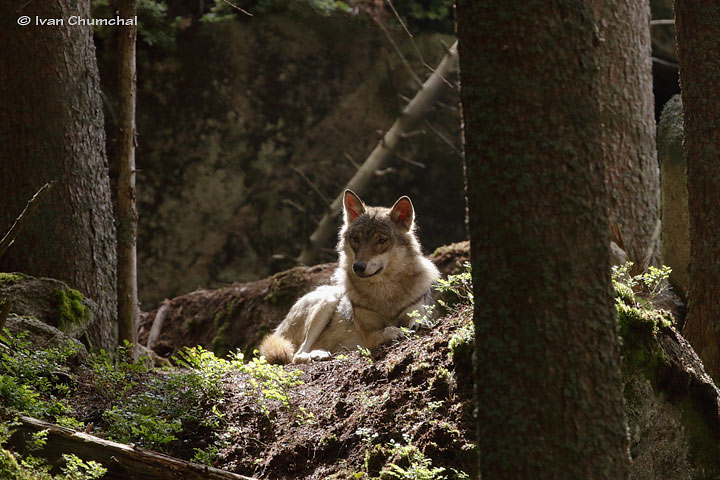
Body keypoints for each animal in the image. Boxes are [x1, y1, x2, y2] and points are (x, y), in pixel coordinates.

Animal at [258, 188, 438, 364]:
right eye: (356, 239)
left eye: (381, 240)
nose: (358, 266)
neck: (384, 293)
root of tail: (280, 327)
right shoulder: (369, 335)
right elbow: (387, 329)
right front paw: (396, 331)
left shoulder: (414, 309)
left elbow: (417, 318)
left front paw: (421, 323)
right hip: (328, 301)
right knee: (297, 355)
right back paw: (317, 354)